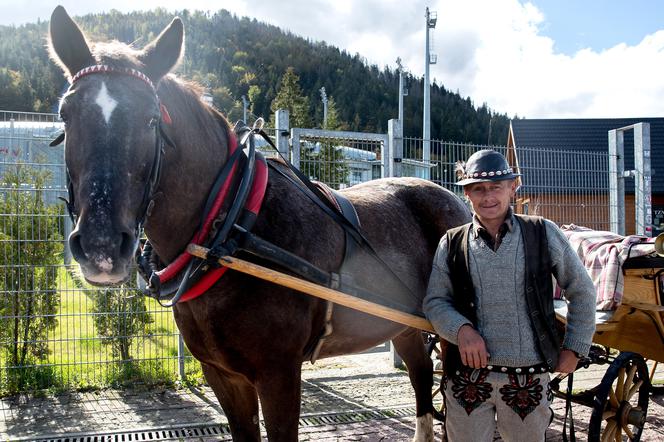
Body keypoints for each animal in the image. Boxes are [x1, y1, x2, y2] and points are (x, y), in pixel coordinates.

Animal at [48, 6, 472, 438]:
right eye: (65, 115)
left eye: (152, 119)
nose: (101, 246)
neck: (229, 227)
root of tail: (452, 198)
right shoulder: (221, 374)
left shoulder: (278, 373)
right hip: (401, 325)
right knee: (420, 376)